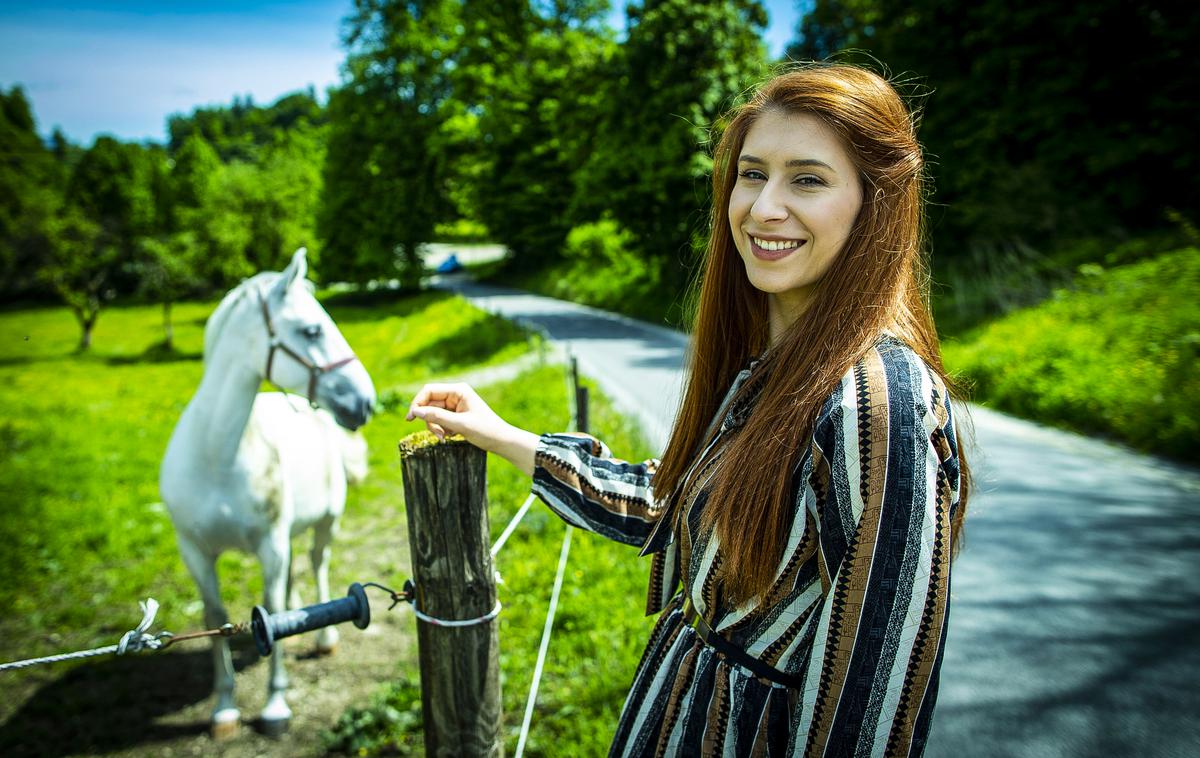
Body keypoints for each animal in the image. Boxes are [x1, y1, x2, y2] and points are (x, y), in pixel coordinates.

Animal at [159, 248, 374, 734]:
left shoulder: (270, 543)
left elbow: (272, 609)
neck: (216, 456)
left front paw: (275, 706)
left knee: (316, 564)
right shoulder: (193, 550)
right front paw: (223, 707)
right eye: (312, 329)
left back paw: (325, 636)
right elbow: (215, 615)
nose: (365, 401)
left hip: (324, 525)